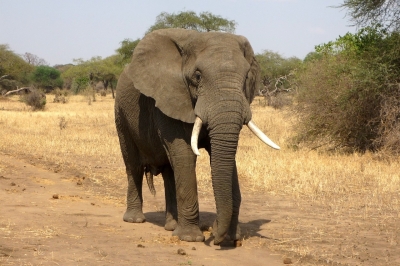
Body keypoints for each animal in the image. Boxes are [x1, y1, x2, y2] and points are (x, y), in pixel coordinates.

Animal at [114, 28, 280, 245]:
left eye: (246, 78)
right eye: (198, 76)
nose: (215, 236)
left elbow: (223, 157)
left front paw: (230, 237)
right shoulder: (168, 98)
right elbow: (185, 155)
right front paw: (190, 238)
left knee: (169, 171)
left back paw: (171, 226)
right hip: (121, 113)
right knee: (133, 164)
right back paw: (135, 220)